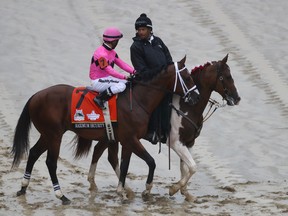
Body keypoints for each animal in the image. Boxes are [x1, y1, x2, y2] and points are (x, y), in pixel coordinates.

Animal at [11, 56, 196, 204]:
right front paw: (146, 189)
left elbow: (125, 165)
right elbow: (150, 161)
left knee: (34, 153)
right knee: (51, 162)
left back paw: (23, 187)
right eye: (187, 77)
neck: (138, 99)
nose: (196, 96)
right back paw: (61, 195)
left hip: (47, 134)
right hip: (54, 135)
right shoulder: (131, 139)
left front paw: (122, 191)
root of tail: (36, 96)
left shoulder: (127, 140)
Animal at [74, 54, 241, 201]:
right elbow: (193, 167)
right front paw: (173, 189)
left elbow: (186, 168)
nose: (237, 98)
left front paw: (186, 193)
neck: (187, 107)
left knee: (101, 152)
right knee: (109, 156)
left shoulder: (188, 142)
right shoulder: (176, 143)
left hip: (110, 136)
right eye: (226, 77)